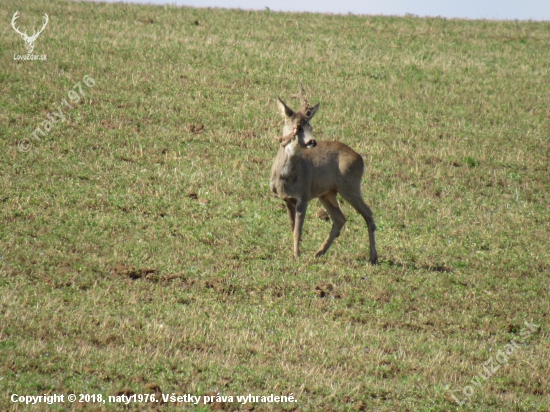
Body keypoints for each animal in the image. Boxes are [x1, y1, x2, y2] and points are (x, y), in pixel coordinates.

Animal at [272, 84, 380, 264]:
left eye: (310, 126)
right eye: (297, 127)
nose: (312, 141)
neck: (287, 178)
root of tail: (360, 159)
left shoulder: (304, 196)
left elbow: (298, 230)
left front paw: (297, 256)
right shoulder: (288, 199)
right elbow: (292, 227)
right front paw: (294, 253)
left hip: (349, 185)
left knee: (368, 213)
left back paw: (373, 257)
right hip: (327, 192)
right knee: (340, 218)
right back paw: (319, 252)